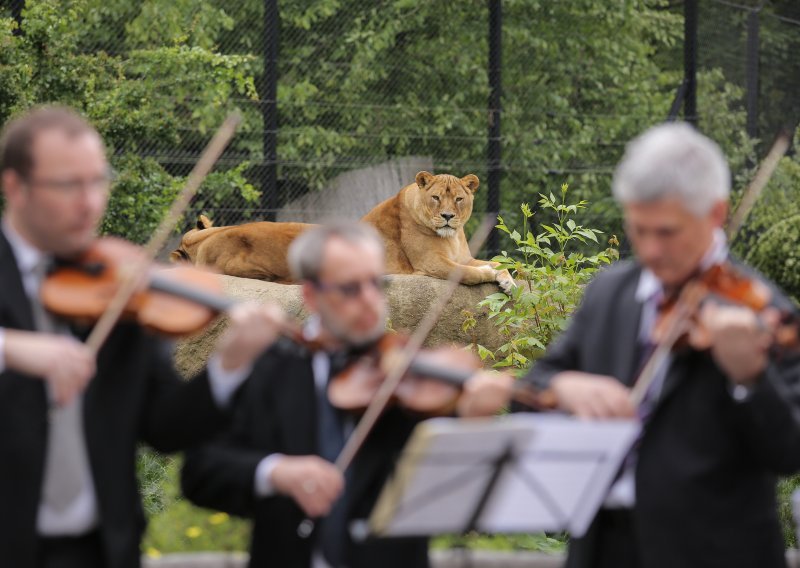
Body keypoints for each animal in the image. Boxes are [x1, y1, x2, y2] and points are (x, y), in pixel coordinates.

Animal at [172, 171, 516, 290]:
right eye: (436, 198)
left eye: (458, 198)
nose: (447, 216)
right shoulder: (430, 264)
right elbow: (470, 273)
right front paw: (490, 275)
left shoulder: (462, 255)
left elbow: (500, 262)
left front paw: (507, 278)